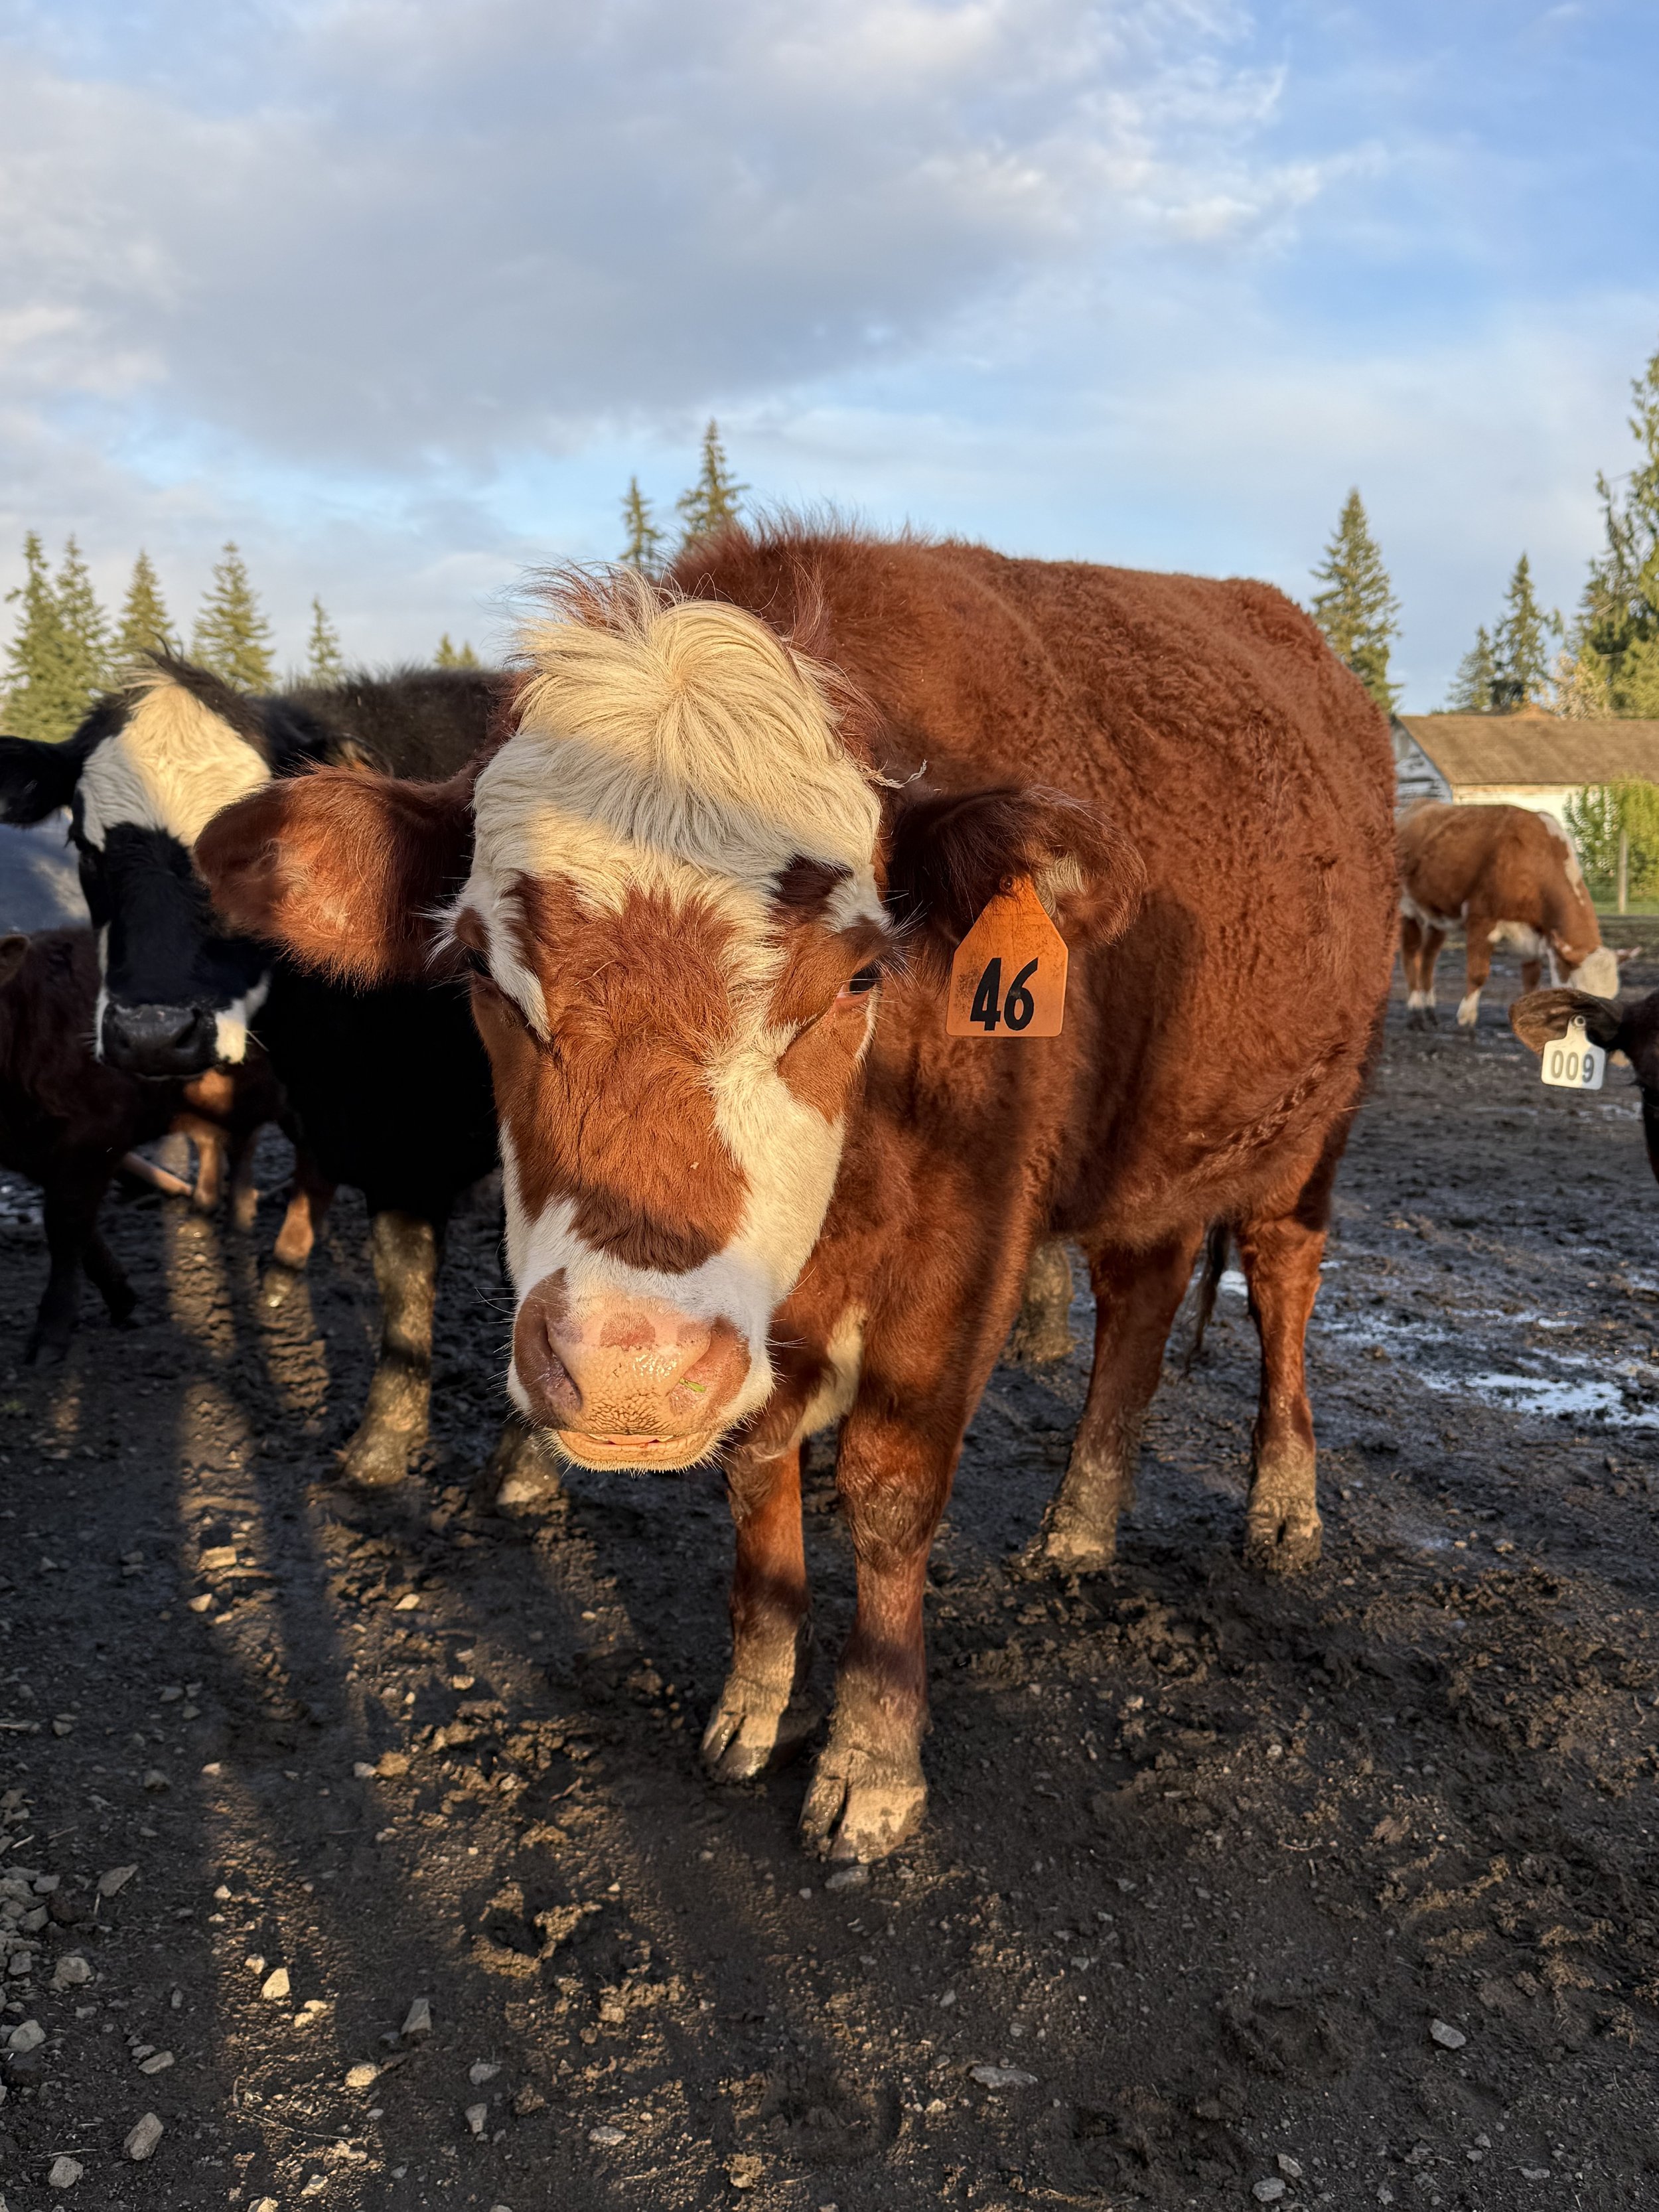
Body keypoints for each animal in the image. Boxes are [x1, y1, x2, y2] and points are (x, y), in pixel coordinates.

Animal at [0, 925, 317, 1359]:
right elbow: (82, 1230)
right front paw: (121, 1296)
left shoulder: (95, 1135)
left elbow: (66, 1227)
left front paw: (50, 1335)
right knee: (228, 1141)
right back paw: (219, 1215)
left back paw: (287, 1258)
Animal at [196, 526, 1397, 1861]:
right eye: (480, 973)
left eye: (861, 974)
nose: (627, 1368)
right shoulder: (760, 1328)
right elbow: (758, 1473)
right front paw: (758, 1701)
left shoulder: (965, 1250)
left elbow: (888, 1489)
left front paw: (872, 1758)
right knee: (1142, 1291)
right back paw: (1083, 1522)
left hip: (1317, 1120)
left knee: (1282, 1279)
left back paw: (1282, 1505)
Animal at [1398, 800, 1623, 1030]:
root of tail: (1421, 805)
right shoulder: (1482, 920)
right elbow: (1478, 974)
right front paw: (1466, 1018)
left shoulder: (1535, 937)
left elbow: (1532, 980)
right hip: (1407, 908)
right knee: (1411, 954)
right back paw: (1415, 1011)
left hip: (1438, 916)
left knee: (1428, 957)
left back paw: (1429, 1010)